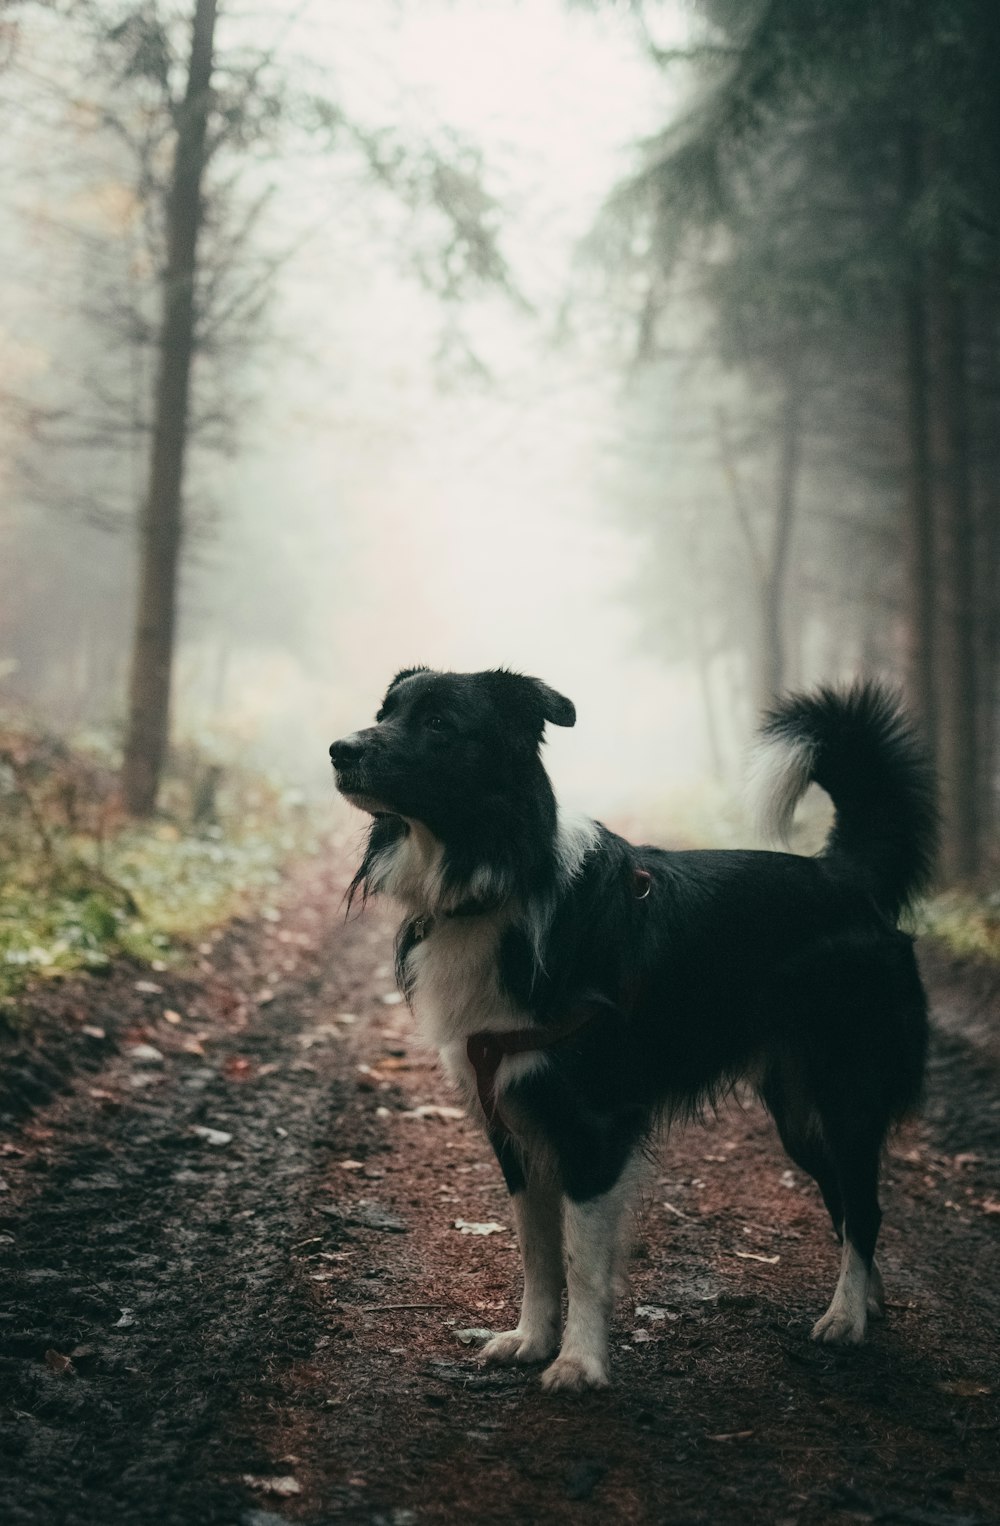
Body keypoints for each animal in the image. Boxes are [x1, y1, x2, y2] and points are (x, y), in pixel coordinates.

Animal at [331, 662, 940, 1391]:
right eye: (385, 713)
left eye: (439, 724)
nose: (339, 750)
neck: (500, 878)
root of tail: (845, 876)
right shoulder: (512, 1121)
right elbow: (536, 1251)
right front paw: (531, 1339)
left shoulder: (593, 1124)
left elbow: (581, 1261)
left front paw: (579, 1361)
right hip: (798, 1112)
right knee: (847, 1203)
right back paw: (868, 1303)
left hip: (845, 1089)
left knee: (865, 1206)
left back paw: (846, 1316)